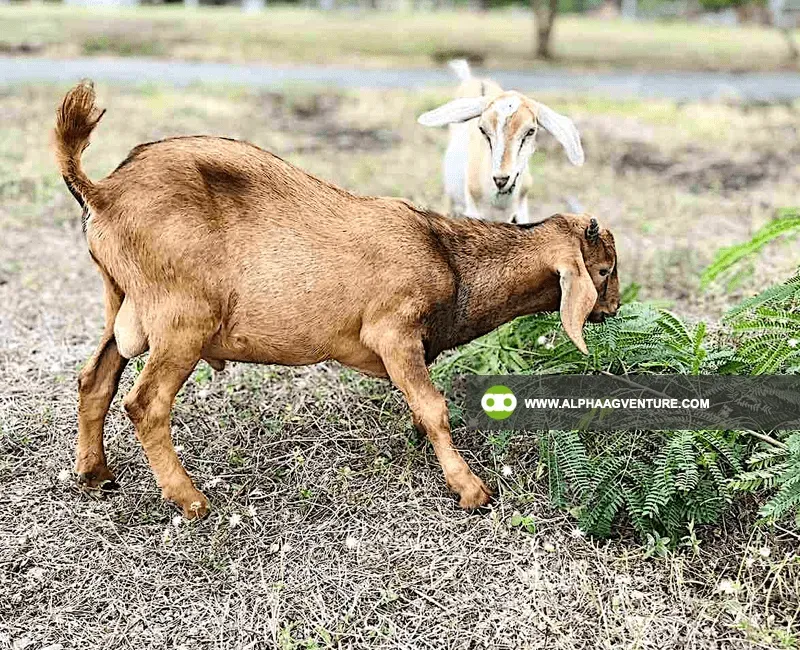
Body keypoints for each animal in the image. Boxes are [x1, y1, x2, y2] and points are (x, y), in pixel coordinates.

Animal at [55, 82, 619, 518]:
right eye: (604, 271)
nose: (611, 309)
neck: (449, 253)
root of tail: (102, 192)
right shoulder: (393, 330)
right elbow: (434, 406)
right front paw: (471, 489)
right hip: (182, 321)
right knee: (145, 403)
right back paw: (190, 500)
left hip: (121, 301)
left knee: (96, 379)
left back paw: (96, 473)